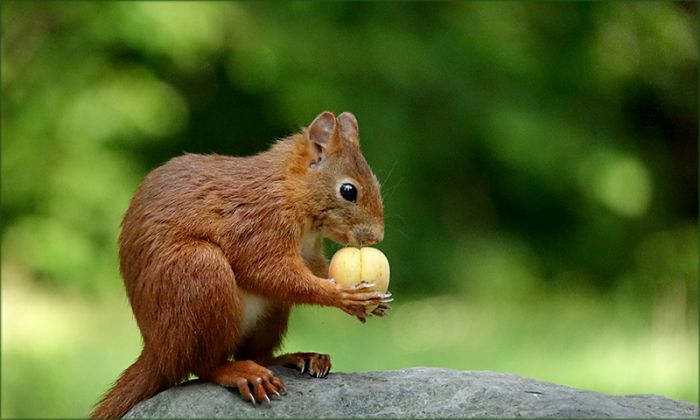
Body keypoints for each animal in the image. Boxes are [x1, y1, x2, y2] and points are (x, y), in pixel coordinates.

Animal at [91, 111, 392, 419]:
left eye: (376, 184)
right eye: (348, 191)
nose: (376, 237)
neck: (291, 190)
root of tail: (157, 350)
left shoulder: (308, 252)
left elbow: (315, 270)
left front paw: (377, 301)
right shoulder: (258, 223)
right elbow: (269, 271)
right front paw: (343, 296)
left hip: (269, 314)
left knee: (257, 354)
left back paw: (298, 357)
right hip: (199, 274)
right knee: (202, 365)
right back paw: (237, 372)